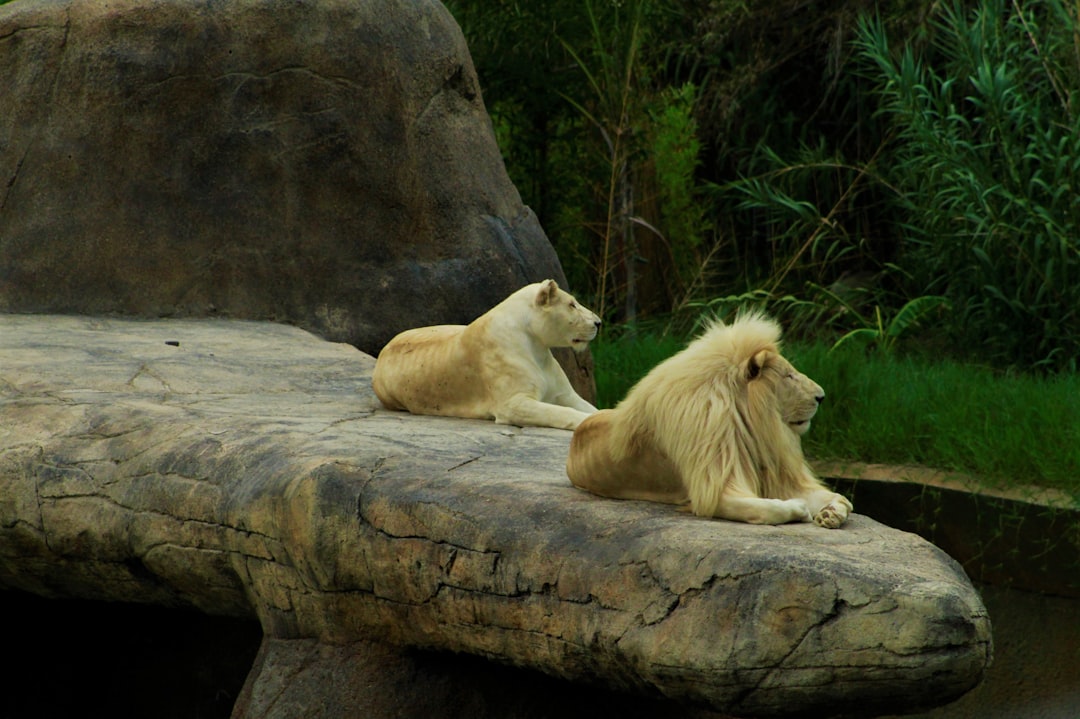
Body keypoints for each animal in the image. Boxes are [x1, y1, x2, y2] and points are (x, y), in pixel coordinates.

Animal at [375, 276, 604, 427]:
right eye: (572, 305)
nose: (599, 322)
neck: (538, 349)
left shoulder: (564, 394)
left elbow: (592, 409)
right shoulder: (511, 404)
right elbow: (559, 413)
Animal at [565, 308, 851, 526]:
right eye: (789, 376)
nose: (822, 396)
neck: (751, 424)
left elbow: (833, 497)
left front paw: (832, 511)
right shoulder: (711, 488)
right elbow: (765, 508)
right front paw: (796, 508)